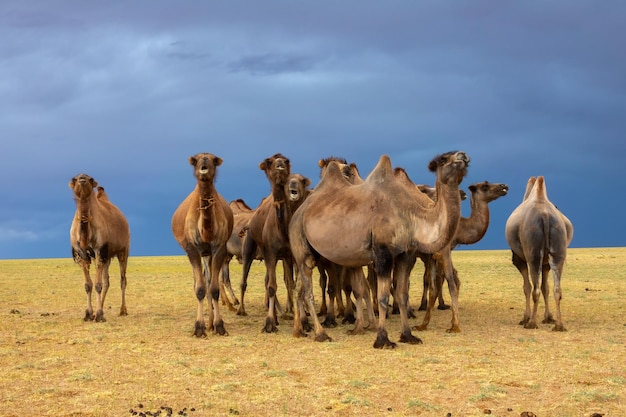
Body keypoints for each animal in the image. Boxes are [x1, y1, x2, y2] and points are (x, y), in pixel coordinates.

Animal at [69, 172, 130, 322]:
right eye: (74, 178)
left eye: (90, 178)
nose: (82, 179)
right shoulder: (81, 253)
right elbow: (88, 285)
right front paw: (89, 314)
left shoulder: (99, 250)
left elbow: (97, 285)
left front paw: (99, 315)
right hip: (107, 256)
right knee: (106, 281)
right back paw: (101, 308)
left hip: (123, 250)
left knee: (122, 280)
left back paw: (122, 310)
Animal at [171, 151, 234, 336]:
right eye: (195, 160)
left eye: (214, 159)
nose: (204, 161)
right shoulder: (191, 248)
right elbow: (199, 289)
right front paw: (199, 327)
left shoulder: (219, 248)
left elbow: (214, 289)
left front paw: (219, 326)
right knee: (199, 283)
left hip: (208, 254)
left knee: (209, 281)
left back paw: (211, 322)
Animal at [236, 153, 310, 332]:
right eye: (270, 162)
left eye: (286, 160)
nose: (280, 163)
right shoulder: (270, 251)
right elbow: (272, 286)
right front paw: (269, 323)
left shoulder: (291, 254)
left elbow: (294, 285)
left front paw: (303, 321)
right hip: (250, 247)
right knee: (246, 280)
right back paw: (242, 310)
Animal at [290, 151, 466, 346]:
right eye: (443, 159)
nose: (462, 156)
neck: (411, 215)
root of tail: (298, 213)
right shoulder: (382, 254)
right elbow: (382, 297)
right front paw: (383, 339)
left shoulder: (405, 254)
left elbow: (401, 295)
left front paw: (408, 335)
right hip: (301, 245)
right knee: (307, 291)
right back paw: (321, 333)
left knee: (299, 288)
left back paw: (299, 330)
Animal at [502, 174, 572, 330]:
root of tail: (545, 215)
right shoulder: (546, 264)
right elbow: (546, 287)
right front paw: (548, 317)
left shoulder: (519, 259)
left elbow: (526, 287)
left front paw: (525, 318)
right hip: (558, 250)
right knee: (557, 289)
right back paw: (559, 325)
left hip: (533, 253)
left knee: (535, 290)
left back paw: (531, 323)